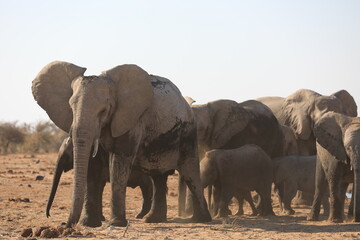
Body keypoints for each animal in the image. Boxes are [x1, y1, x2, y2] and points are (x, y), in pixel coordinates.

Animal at [32, 60, 211, 227]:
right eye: (71, 108)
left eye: (103, 111)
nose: (64, 224)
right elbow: (92, 166)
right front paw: (89, 224)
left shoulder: (131, 120)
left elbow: (119, 160)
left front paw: (116, 224)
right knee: (158, 177)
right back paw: (153, 220)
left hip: (187, 134)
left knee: (189, 172)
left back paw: (201, 219)